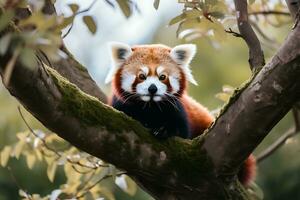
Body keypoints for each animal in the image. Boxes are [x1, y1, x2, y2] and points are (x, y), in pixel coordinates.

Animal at [105, 41, 255, 186]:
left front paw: (163, 130)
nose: (152, 88)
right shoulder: (120, 106)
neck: (150, 106)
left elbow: (181, 131)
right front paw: (146, 123)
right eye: (142, 76)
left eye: (162, 77)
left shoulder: (177, 110)